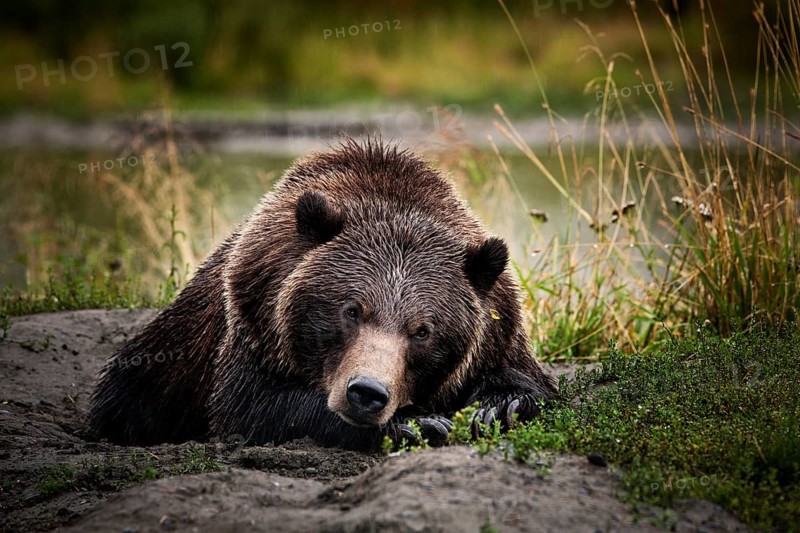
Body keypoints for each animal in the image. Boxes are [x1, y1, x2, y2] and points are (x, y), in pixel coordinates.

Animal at [89, 138, 557, 451]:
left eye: (423, 330)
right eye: (352, 310)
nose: (366, 392)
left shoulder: (499, 329)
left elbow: (530, 383)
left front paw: (498, 407)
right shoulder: (254, 321)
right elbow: (253, 405)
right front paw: (417, 424)